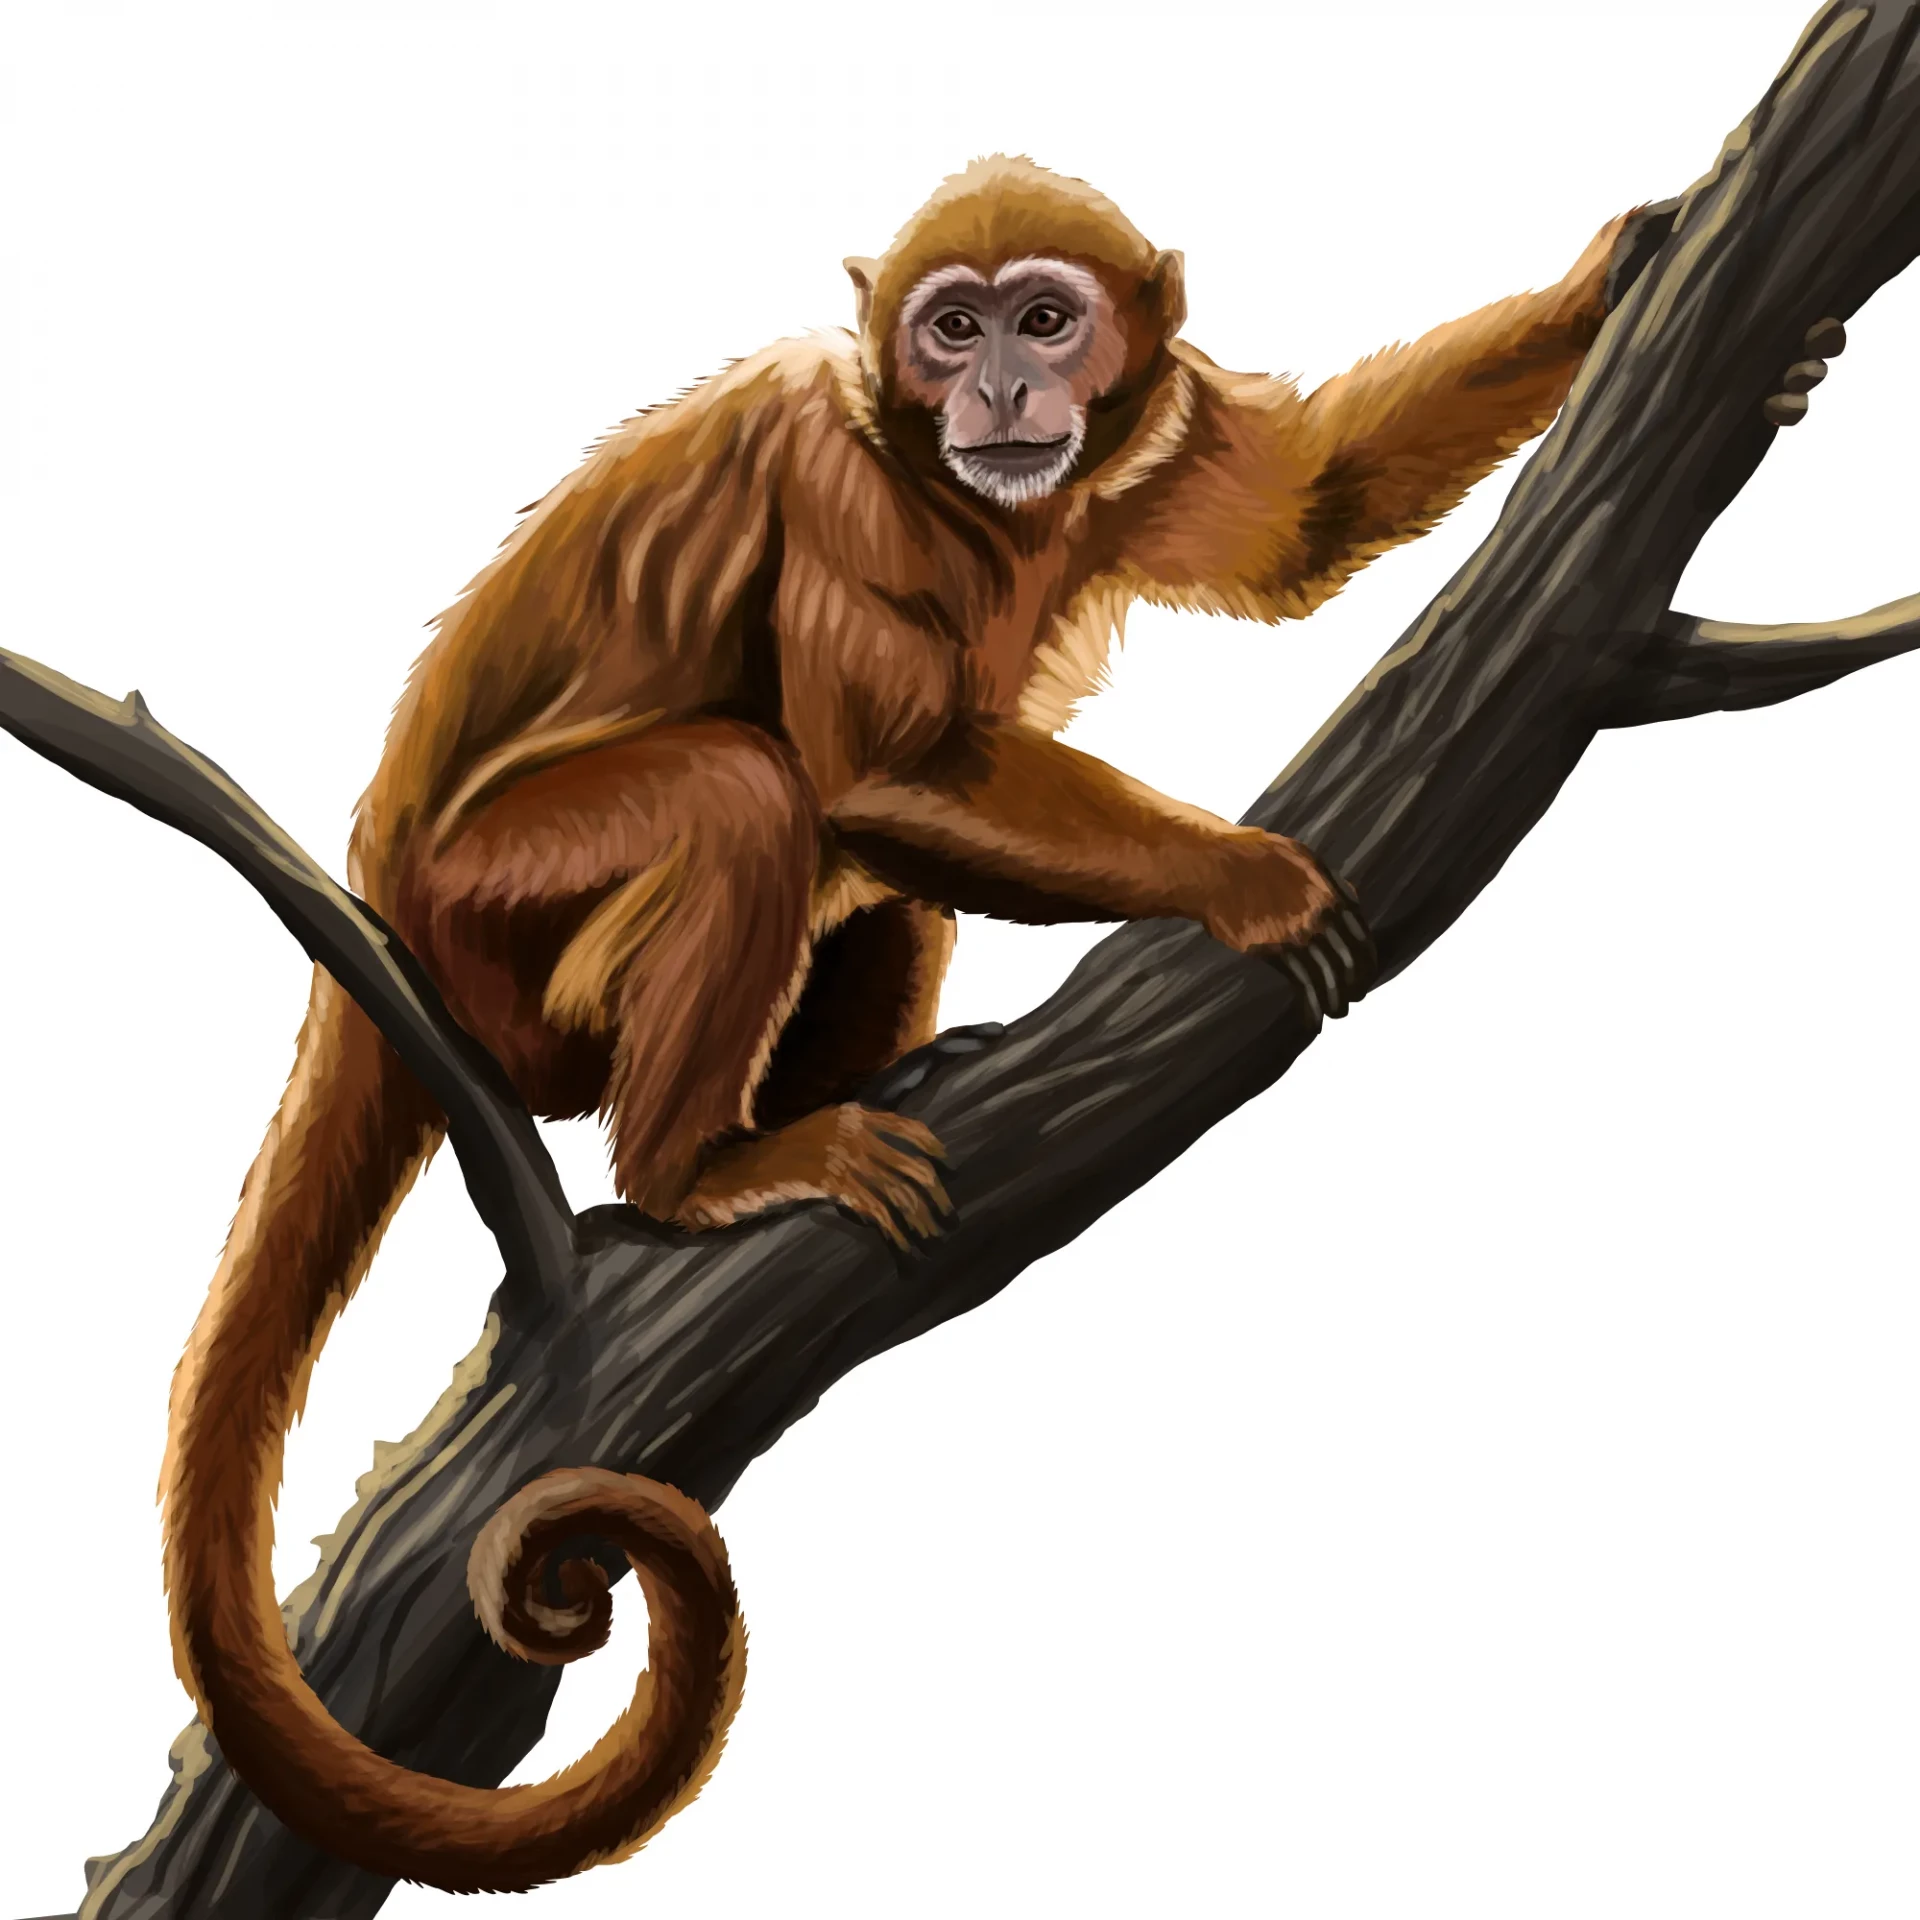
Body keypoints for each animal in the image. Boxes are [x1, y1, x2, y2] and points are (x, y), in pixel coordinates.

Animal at [156, 155, 1681, 1893]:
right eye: (953, 328)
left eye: (1045, 318)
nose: (1004, 384)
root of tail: (376, 887)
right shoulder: (843, 489)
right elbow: (876, 772)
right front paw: (1238, 876)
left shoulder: (1149, 435)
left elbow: (1312, 510)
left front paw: (1618, 271)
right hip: (495, 933)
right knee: (752, 793)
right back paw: (694, 1173)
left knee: (876, 879)